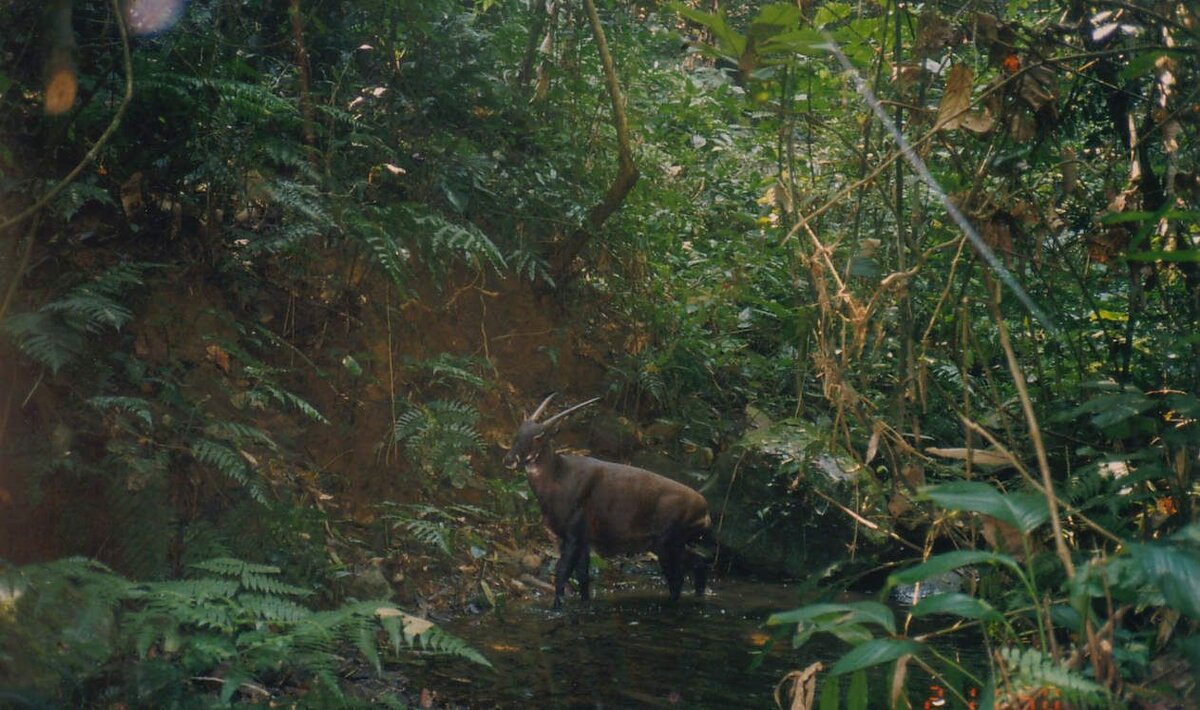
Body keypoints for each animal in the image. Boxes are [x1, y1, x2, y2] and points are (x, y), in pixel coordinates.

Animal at [499, 395, 705, 606]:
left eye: (539, 436)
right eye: (518, 432)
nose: (509, 459)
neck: (558, 477)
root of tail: (705, 509)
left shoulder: (573, 535)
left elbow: (562, 573)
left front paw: (557, 607)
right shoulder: (583, 539)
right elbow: (583, 577)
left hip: (667, 541)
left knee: (678, 578)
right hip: (673, 542)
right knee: (698, 564)